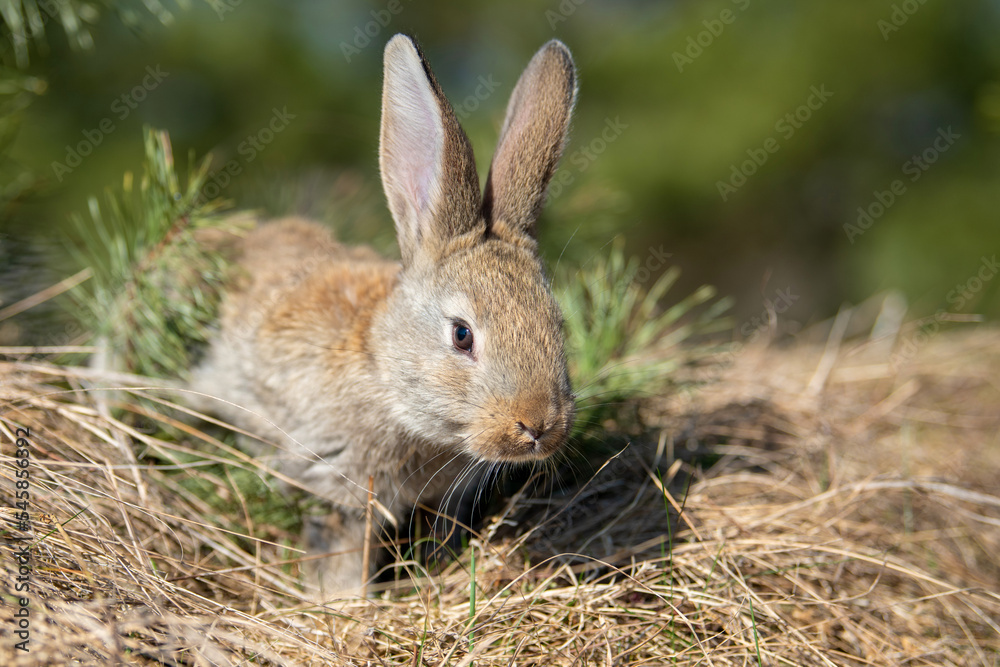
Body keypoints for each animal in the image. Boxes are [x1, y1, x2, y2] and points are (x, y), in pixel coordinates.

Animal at [188, 34, 580, 596]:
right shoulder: (338, 483)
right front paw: (345, 603)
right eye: (462, 335)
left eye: (558, 324)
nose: (539, 426)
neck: (383, 377)